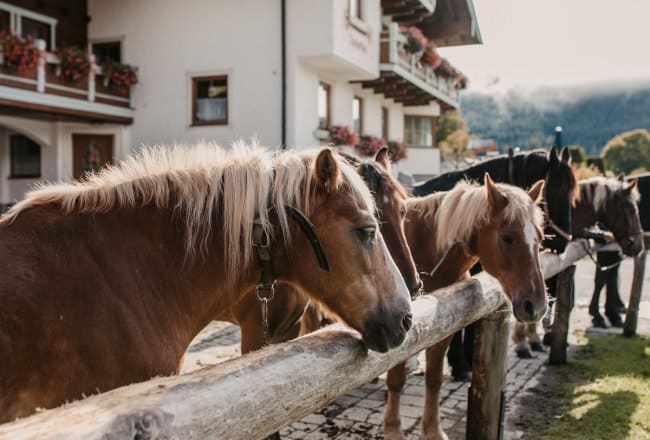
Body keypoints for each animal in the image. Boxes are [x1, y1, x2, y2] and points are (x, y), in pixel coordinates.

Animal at [384, 174, 547, 440]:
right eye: (507, 238)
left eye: (540, 238)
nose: (537, 306)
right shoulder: (401, 329)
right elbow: (396, 379)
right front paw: (393, 428)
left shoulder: (443, 328)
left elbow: (435, 379)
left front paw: (433, 429)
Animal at [412, 147, 577, 376]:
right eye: (558, 189)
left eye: (539, 236)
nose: (564, 241)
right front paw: (460, 364)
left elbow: (471, 322)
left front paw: (468, 359)